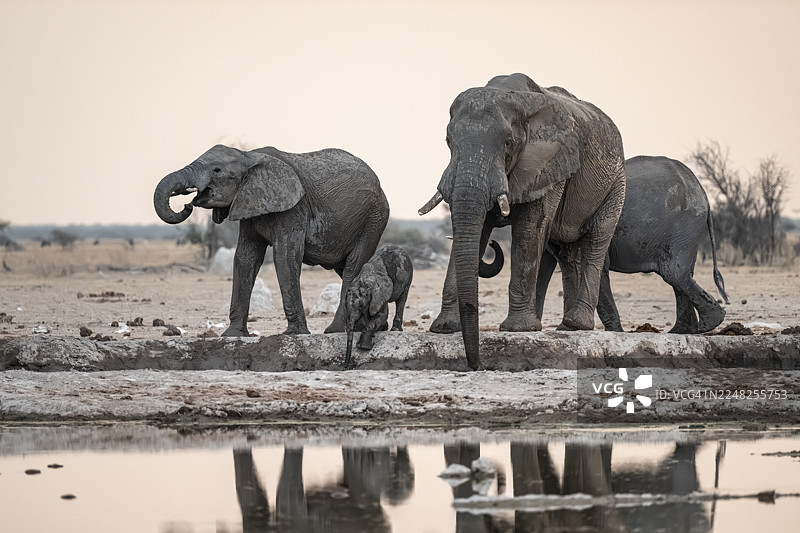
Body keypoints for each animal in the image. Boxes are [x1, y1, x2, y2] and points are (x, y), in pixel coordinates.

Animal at [153, 144, 389, 336]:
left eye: (217, 170)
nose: (187, 204)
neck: (248, 156)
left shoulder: (294, 208)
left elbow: (285, 256)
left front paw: (294, 334)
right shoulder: (249, 204)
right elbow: (245, 258)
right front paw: (232, 335)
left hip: (372, 219)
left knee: (352, 268)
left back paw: (336, 330)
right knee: (349, 268)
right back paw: (376, 327)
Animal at [419, 73, 626, 369]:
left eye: (507, 143)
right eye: (448, 141)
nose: (476, 366)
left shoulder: (547, 164)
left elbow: (529, 229)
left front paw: (519, 329)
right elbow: (477, 229)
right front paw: (444, 328)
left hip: (615, 183)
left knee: (596, 241)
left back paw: (577, 324)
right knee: (566, 253)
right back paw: (566, 328)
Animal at [536, 155, 729, 333]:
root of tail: (702, 191)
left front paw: (611, 332)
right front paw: (564, 328)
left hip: (685, 226)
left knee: (674, 273)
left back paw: (706, 324)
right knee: (682, 275)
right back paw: (682, 331)